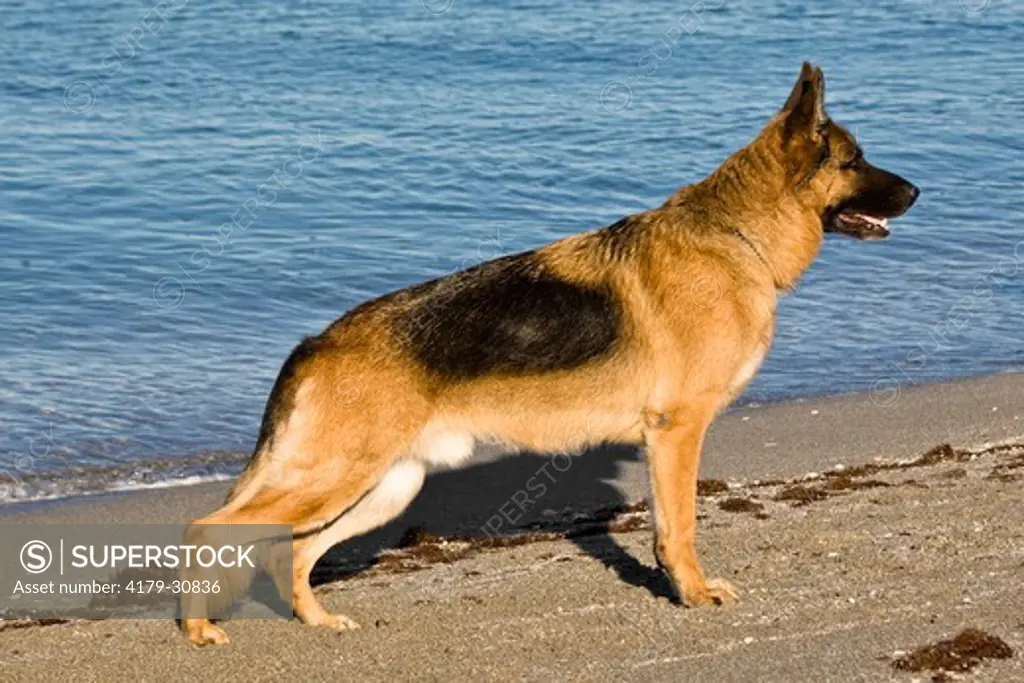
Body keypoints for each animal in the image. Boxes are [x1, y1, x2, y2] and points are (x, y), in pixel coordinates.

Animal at [184, 61, 921, 643]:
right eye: (855, 160)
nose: (919, 191)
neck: (735, 234)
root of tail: (316, 341)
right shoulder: (677, 433)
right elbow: (679, 525)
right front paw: (691, 591)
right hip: (334, 477)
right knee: (209, 527)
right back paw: (197, 626)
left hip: (382, 488)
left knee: (295, 550)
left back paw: (316, 621)